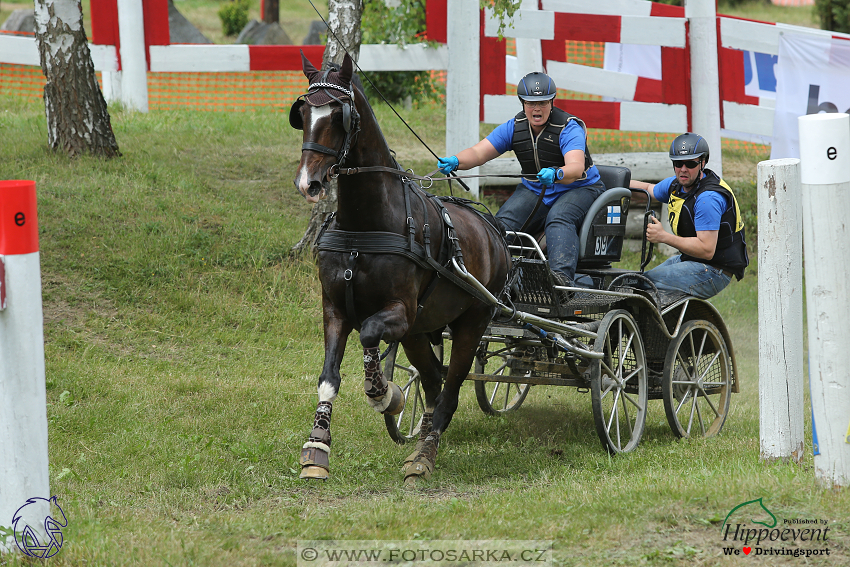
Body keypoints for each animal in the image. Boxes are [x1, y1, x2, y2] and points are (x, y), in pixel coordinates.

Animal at [288, 52, 506, 484]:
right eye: (301, 112)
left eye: (338, 115)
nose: (309, 183)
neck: (364, 226)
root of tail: (493, 229)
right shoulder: (334, 308)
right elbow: (328, 378)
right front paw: (317, 445)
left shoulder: (398, 312)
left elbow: (370, 334)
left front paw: (384, 393)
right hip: (421, 330)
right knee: (435, 381)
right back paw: (423, 435)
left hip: (472, 321)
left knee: (450, 390)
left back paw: (424, 453)